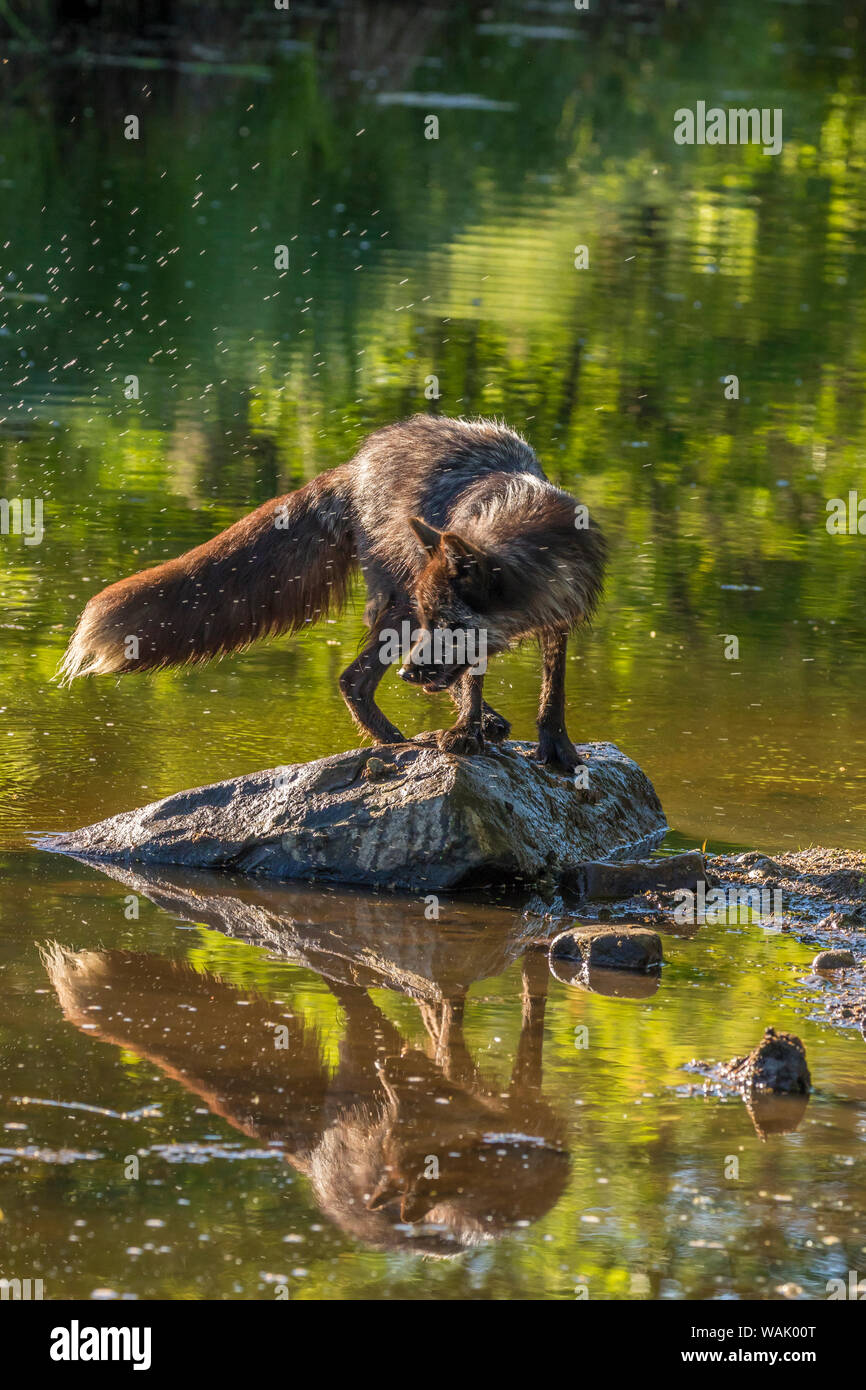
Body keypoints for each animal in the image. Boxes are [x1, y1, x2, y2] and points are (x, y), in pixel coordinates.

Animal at [59, 414, 606, 770]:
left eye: (450, 625)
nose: (408, 676)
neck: (521, 524)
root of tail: (356, 463)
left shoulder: (558, 620)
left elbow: (551, 691)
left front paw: (556, 748)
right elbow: (471, 683)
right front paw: (463, 735)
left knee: (372, 680)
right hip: (400, 609)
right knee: (352, 681)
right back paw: (399, 743)